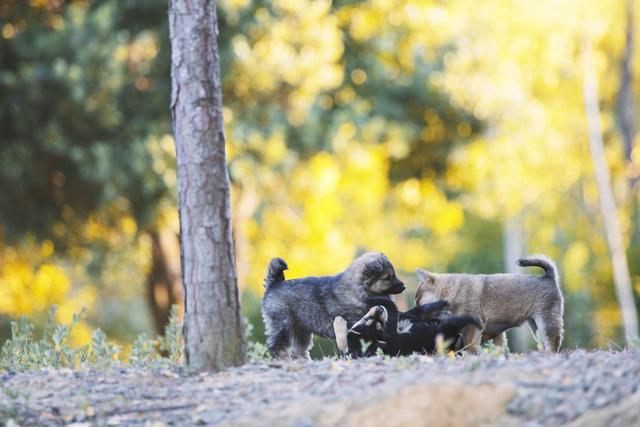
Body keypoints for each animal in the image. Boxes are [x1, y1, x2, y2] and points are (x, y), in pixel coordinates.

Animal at [262, 252, 404, 360]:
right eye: (388, 278)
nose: (404, 286)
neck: (359, 288)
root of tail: (274, 284)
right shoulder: (354, 322)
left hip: (301, 328)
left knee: (299, 349)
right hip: (282, 322)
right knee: (278, 344)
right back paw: (284, 357)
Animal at [412, 256, 564, 352]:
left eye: (419, 301)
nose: (413, 315)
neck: (453, 292)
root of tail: (548, 277)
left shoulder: (472, 327)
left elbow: (470, 345)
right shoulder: (496, 333)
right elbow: (499, 347)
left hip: (546, 321)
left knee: (553, 340)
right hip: (535, 325)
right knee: (544, 341)